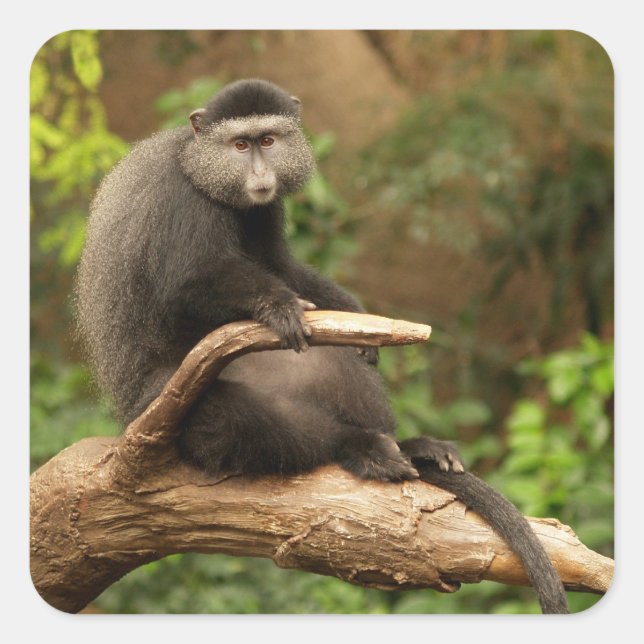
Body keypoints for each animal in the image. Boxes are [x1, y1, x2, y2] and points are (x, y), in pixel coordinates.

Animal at [76, 79, 568, 614]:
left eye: (268, 141)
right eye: (240, 145)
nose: (259, 173)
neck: (199, 166)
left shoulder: (265, 209)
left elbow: (281, 266)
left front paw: (351, 312)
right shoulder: (181, 203)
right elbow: (187, 283)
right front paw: (276, 305)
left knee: (332, 361)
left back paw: (409, 447)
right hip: (168, 404)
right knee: (237, 421)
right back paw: (358, 448)